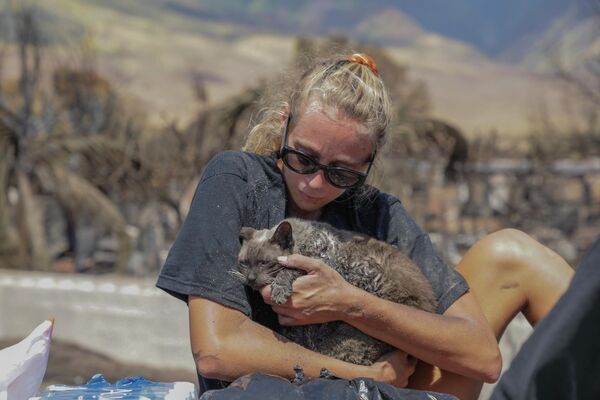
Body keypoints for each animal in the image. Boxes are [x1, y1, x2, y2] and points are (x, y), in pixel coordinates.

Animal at [237, 219, 438, 366]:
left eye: (265, 262)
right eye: (244, 263)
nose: (251, 279)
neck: (306, 240)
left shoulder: (323, 263)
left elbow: (290, 269)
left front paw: (279, 290)